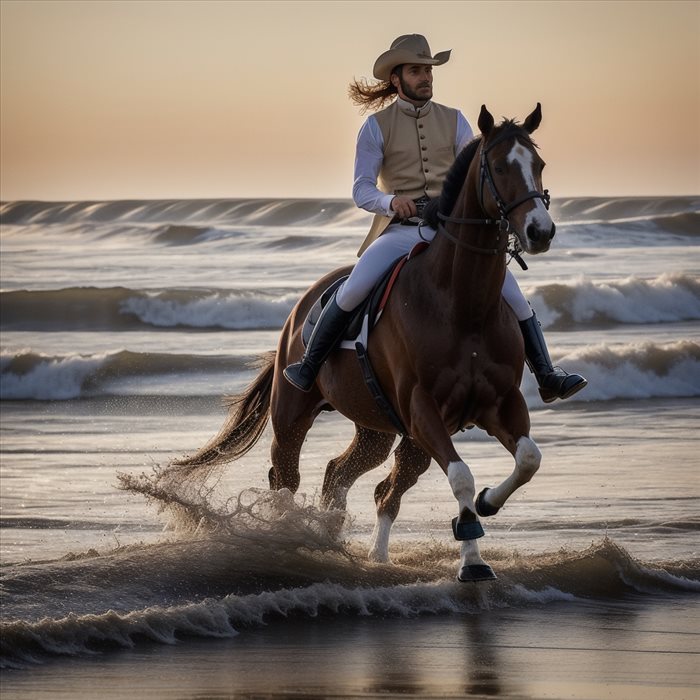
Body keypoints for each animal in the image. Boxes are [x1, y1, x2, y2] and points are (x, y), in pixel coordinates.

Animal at [170, 104, 552, 584]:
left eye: (539, 165)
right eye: (500, 167)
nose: (541, 231)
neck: (461, 303)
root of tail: (302, 308)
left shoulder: (498, 404)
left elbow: (528, 459)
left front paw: (484, 514)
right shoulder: (423, 408)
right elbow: (462, 476)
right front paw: (473, 555)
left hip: (380, 430)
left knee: (355, 479)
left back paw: (365, 551)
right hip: (293, 417)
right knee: (287, 478)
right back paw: (289, 539)